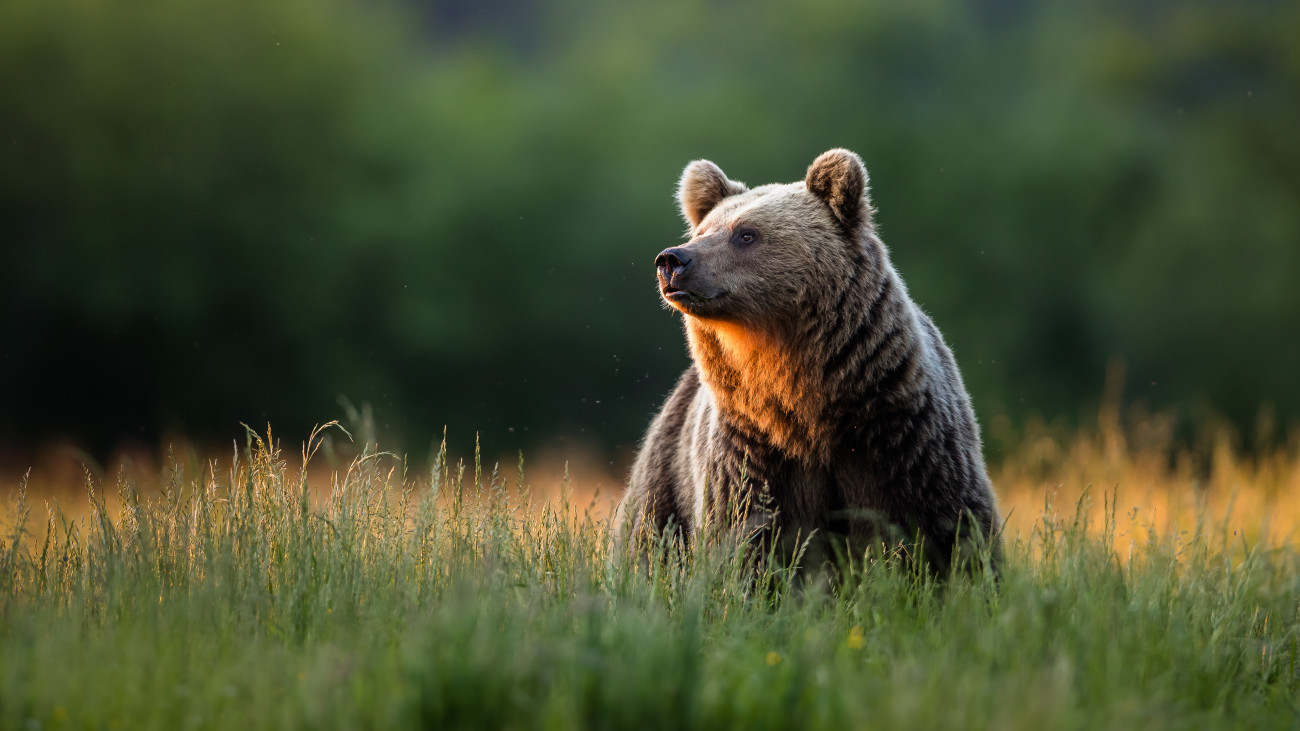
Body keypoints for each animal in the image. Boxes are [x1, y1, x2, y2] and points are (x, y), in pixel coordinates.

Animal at [612, 148, 1002, 577]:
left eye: (745, 234)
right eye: (701, 232)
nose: (673, 260)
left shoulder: (903, 438)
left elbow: (952, 531)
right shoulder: (752, 453)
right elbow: (744, 543)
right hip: (665, 475)